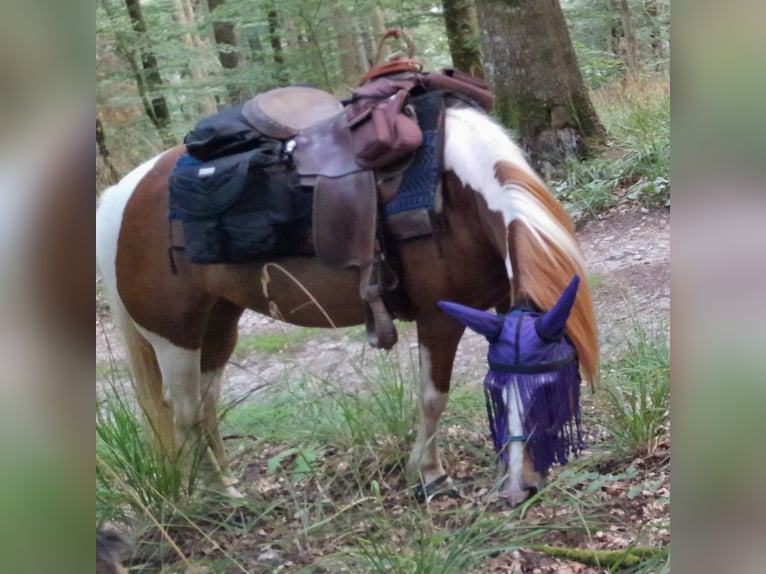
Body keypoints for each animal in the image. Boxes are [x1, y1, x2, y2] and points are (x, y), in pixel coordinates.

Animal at [94, 100, 600, 508]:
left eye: (552, 390)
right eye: (497, 395)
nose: (519, 490)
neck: (455, 197)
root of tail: (123, 193)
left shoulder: (499, 307)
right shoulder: (439, 317)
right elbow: (433, 397)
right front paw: (429, 477)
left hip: (219, 324)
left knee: (205, 405)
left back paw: (229, 488)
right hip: (173, 336)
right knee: (183, 414)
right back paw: (212, 499)